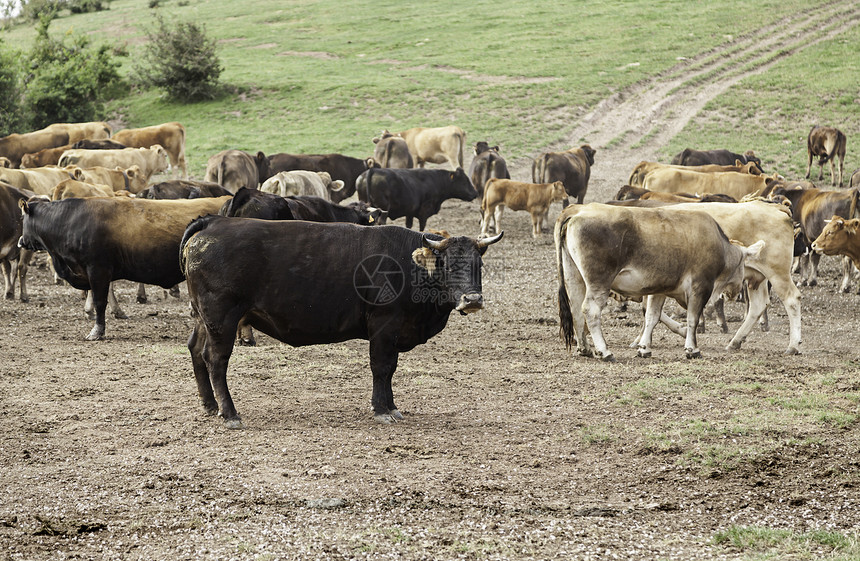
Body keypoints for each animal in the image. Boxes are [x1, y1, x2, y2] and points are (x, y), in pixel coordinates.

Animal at [18, 195, 230, 340]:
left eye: (22, 220)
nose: (21, 241)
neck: (69, 221)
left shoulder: (98, 270)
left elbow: (100, 302)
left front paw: (97, 331)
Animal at [181, 217, 504, 426]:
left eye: (479, 264)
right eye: (446, 264)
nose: (473, 299)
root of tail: (213, 223)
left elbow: (390, 370)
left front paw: (392, 406)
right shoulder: (384, 327)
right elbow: (382, 367)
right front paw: (382, 409)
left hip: (204, 319)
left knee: (196, 351)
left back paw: (210, 405)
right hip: (221, 319)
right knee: (215, 359)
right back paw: (229, 413)